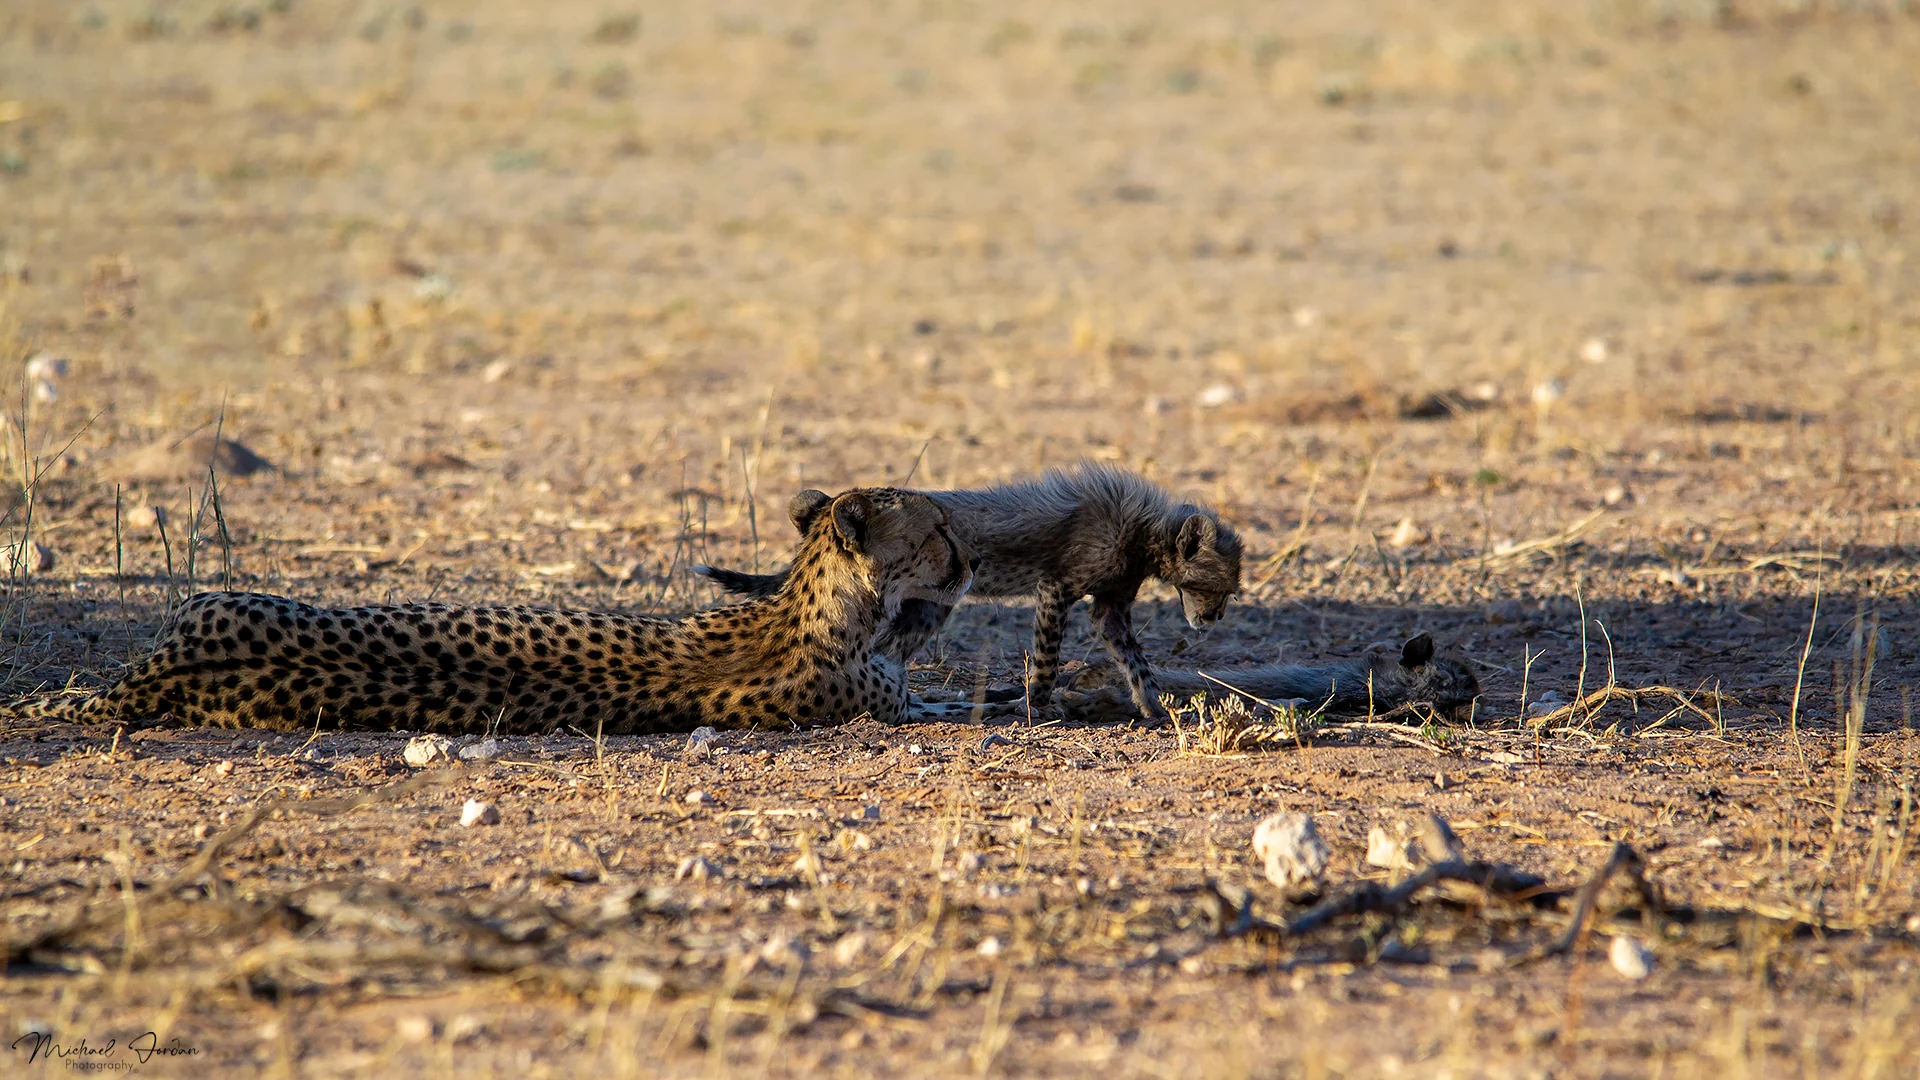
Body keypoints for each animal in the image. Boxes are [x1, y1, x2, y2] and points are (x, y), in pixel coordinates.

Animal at [4, 488, 976, 734]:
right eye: (935, 527)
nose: (968, 559)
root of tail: (149, 676)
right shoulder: (897, 703)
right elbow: (970, 702)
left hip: (213, 598)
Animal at [694, 462, 1243, 718]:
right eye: (1221, 587)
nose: (1212, 619)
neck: (1148, 530)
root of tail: (824, 514)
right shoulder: (1056, 587)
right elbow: (1047, 661)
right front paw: (1035, 707)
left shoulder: (1111, 606)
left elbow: (1135, 659)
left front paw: (1154, 709)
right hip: (927, 607)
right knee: (884, 651)